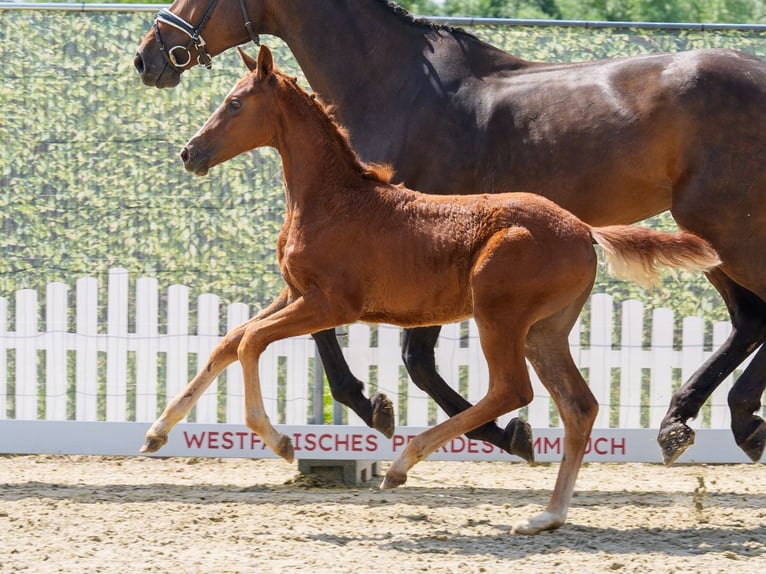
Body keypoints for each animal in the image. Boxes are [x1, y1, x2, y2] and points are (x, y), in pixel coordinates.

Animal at [134, 0, 766, 464]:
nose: (149, 56)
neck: (396, 85)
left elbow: (404, 357)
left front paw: (381, 409)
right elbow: (263, 337)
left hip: (727, 230)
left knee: (757, 314)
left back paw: (731, 419)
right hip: (710, 238)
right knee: (748, 318)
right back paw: (690, 422)